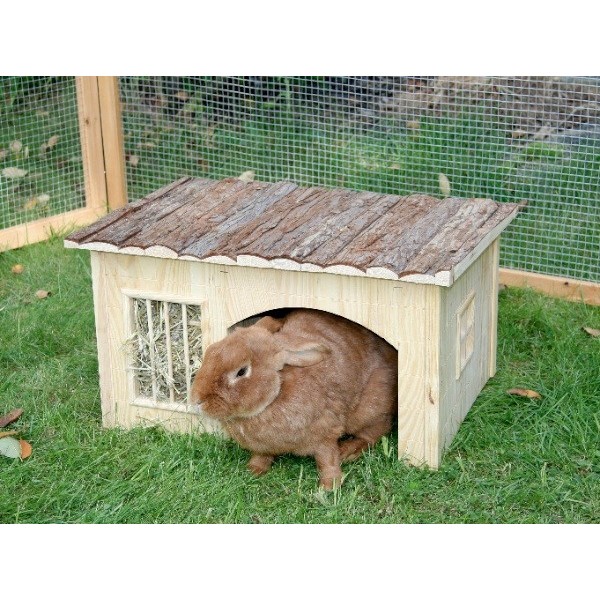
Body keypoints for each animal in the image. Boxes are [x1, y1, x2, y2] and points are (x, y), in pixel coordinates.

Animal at [190, 310, 396, 488]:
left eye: (241, 372)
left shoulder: (326, 432)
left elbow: (327, 459)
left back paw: (348, 450)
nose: (196, 400)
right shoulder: (263, 447)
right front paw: (253, 470)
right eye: (210, 351)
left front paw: (330, 487)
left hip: (370, 409)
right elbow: (261, 456)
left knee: (374, 433)